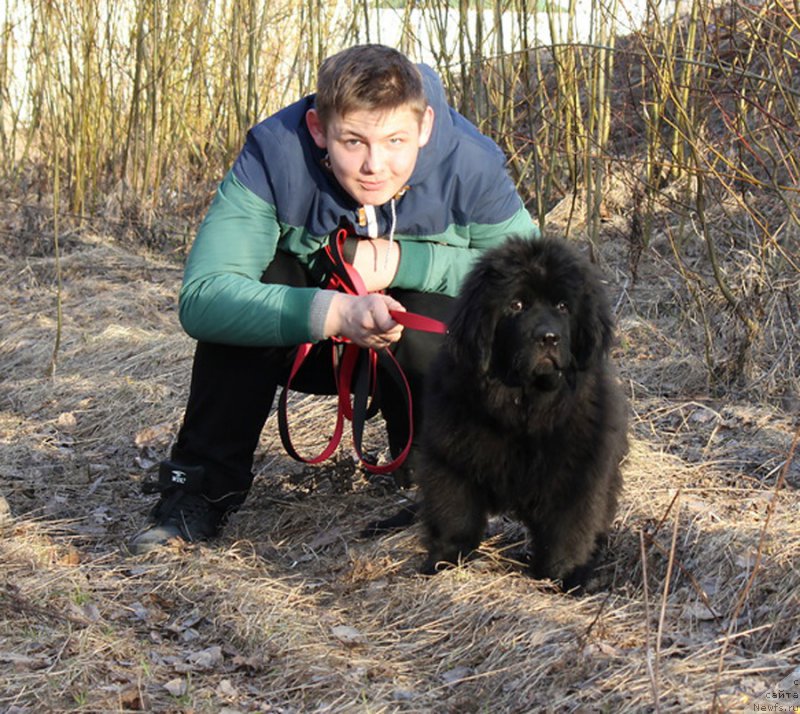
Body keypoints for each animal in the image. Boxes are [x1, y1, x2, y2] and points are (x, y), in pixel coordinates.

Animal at [416, 236, 628, 588]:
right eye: (516, 305)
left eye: (563, 307)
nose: (548, 337)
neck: (524, 407)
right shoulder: (451, 458)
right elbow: (455, 514)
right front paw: (443, 561)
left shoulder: (577, 470)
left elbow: (569, 528)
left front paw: (563, 575)